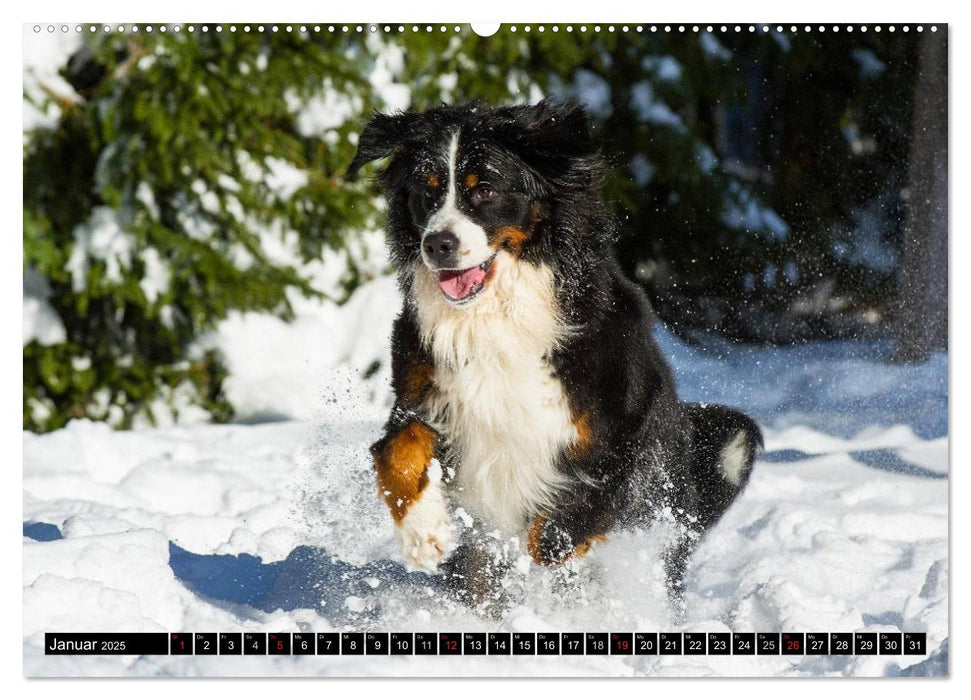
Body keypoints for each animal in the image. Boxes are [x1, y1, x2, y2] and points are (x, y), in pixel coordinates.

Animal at [346, 100, 764, 612]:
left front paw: (548, 555)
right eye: (427, 190)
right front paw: (423, 533)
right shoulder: (422, 393)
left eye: (484, 188)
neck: (496, 317)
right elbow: (397, 451)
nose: (438, 244)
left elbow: (575, 513)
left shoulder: (625, 423)